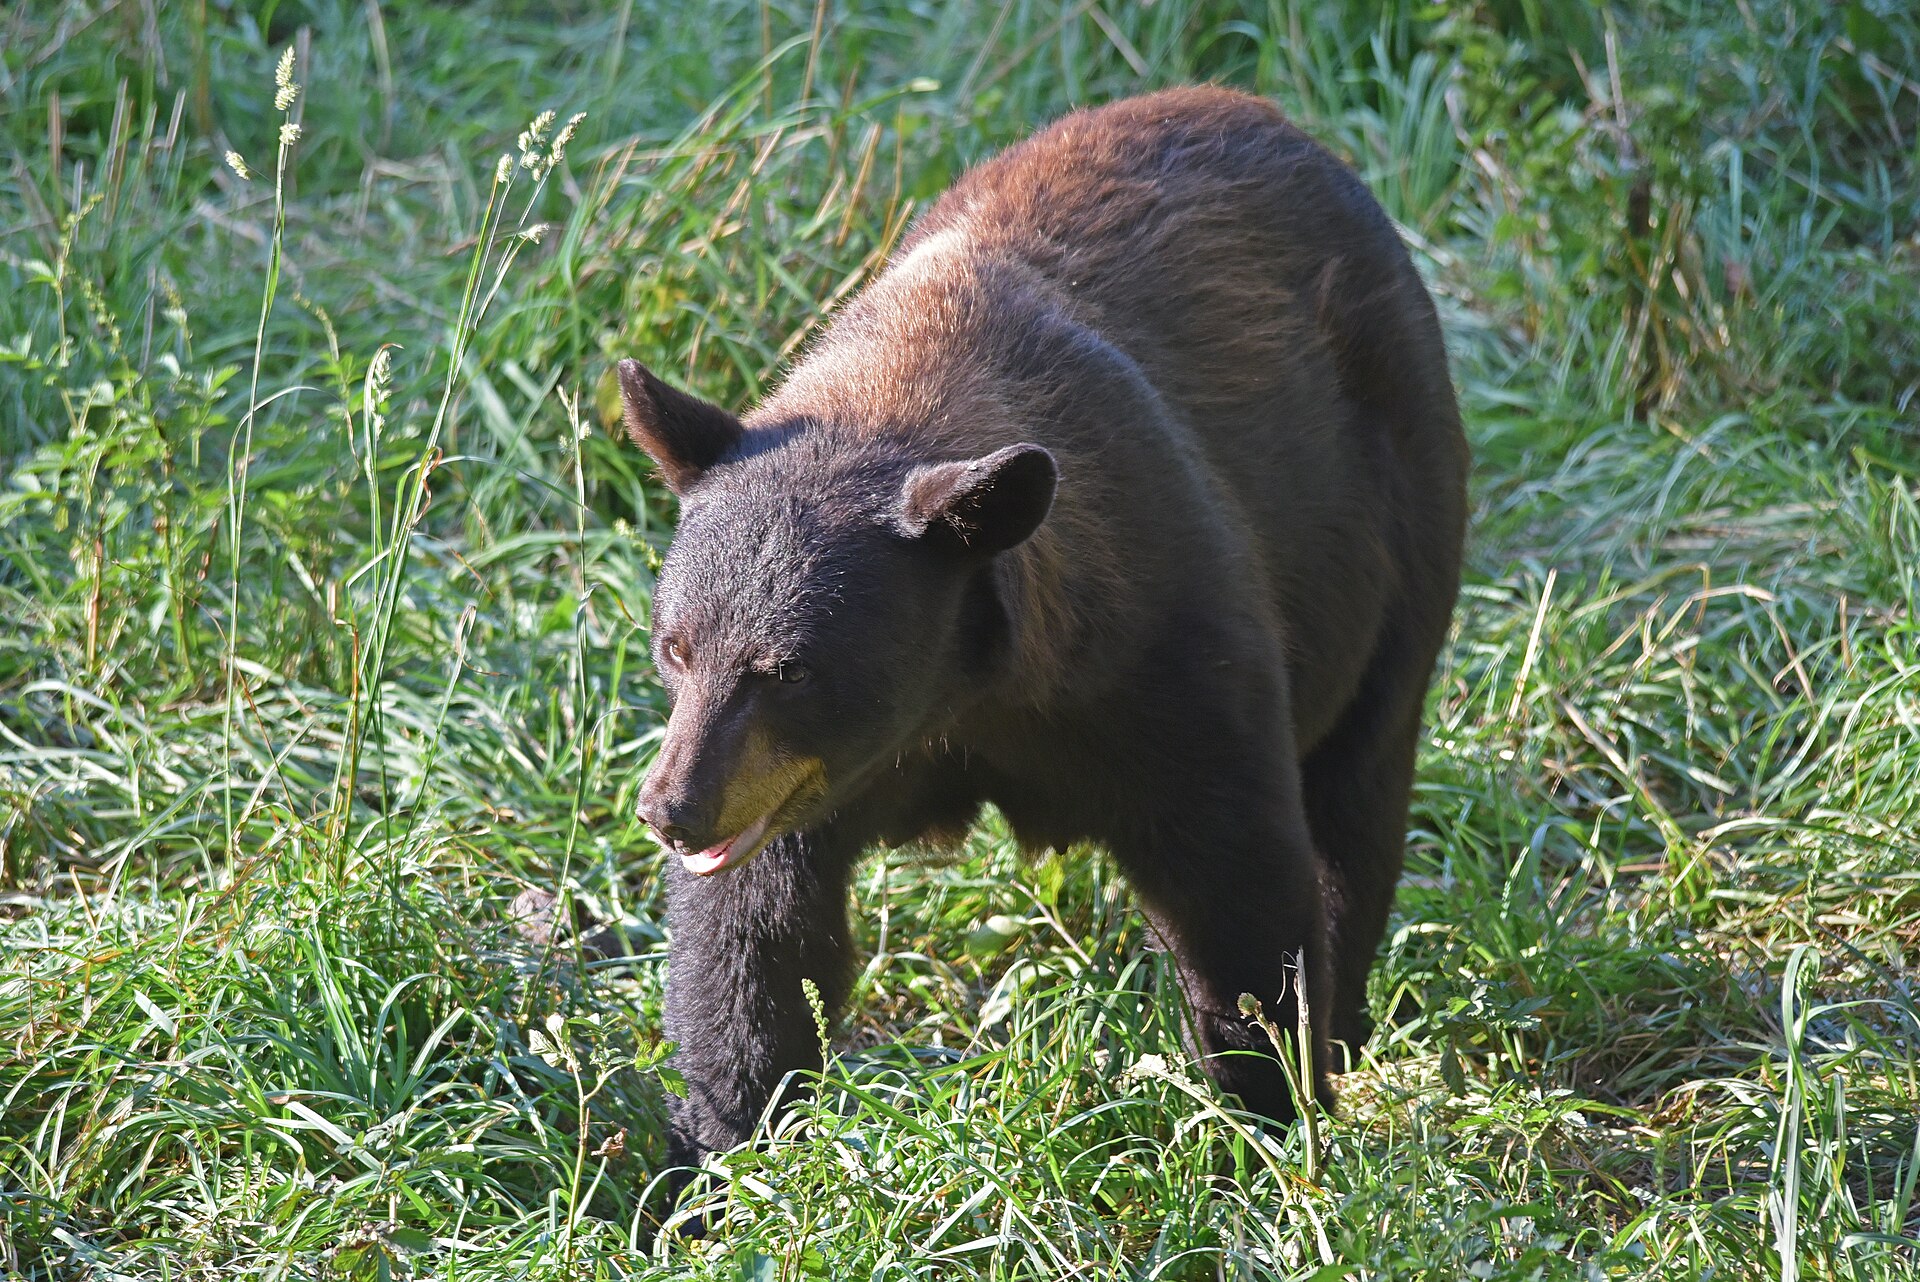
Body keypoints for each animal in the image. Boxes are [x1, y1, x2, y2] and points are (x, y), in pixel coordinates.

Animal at [617, 86, 1468, 1174]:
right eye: (675, 647)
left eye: (791, 669)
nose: (670, 810)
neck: (969, 695)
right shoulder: (797, 782)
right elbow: (755, 946)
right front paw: (724, 1155)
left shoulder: (1167, 654)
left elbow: (1241, 886)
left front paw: (1269, 1121)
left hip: (1399, 532)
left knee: (1358, 796)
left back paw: (1345, 1029)